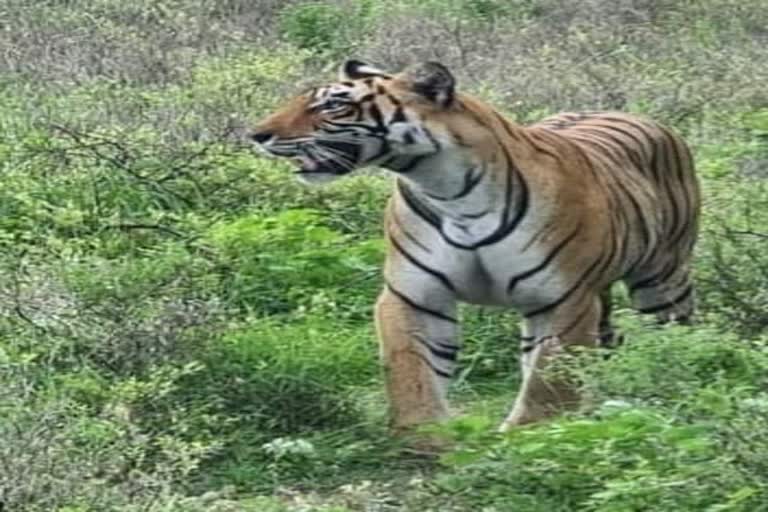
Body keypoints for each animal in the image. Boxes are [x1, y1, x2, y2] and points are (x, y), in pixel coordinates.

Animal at [250, 61, 704, 432]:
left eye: (333, 105)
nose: (256, 135)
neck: (450, 192)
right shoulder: (414, 294)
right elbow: (411, 369)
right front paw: (425, 437)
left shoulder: (564, 299)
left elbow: (547, 380)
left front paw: (529, 438)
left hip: (663, 282)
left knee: (674, 337)